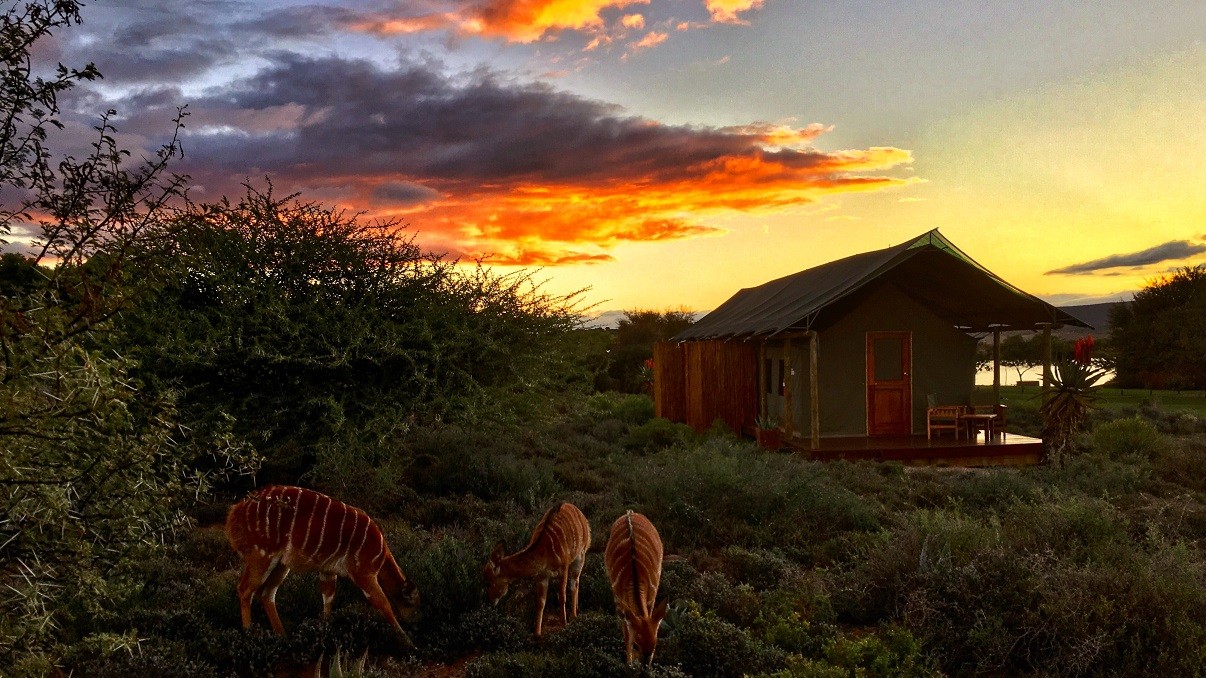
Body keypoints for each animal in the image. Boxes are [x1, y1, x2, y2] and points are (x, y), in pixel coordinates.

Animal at [226, 482, 419, 641]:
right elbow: (382, 602)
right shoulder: (363, 572)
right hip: (261, 556)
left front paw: (325, 631)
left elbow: (328, 599)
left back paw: (283, 636)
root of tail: (234, 512)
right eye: (413, 603)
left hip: (281, 564)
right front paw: (408, 642)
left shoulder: (328, 570)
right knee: (245, 589)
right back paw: (250, 634)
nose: (416, 621)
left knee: (267, 594)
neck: (380, 552)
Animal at [482, 497, 590, 632]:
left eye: (488, 583)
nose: (489, 603)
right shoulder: (542, 575)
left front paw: (564, 624)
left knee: (575, 582)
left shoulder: (563, 568)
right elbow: (540, 602)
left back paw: (574, 615)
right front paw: (537, 633)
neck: (545, 551)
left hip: (580, 556)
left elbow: (562, 597)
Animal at [603, 509, 670, 661]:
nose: (645, 665)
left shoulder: (651, 599)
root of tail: (630, 512)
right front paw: (629, 663)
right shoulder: (620, 604)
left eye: (655, 644)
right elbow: (626, 636)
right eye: (636, 645)